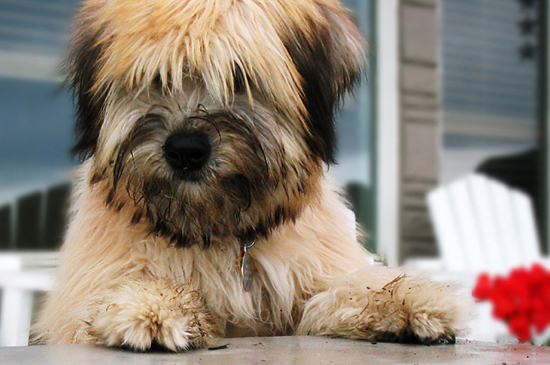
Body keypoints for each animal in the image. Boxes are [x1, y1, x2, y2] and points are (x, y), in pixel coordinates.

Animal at [34, 0, 468, 350]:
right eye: (156, 78)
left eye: (240, 77)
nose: (185, 151)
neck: (216, 232)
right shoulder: (81, 304)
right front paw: (150, 308)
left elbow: (341, 291)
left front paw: (411, 301)